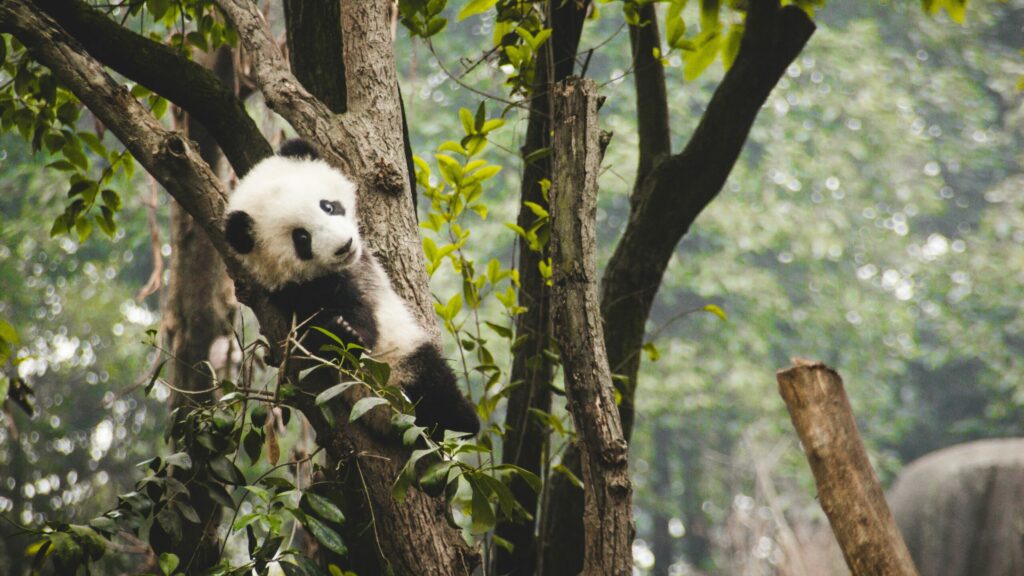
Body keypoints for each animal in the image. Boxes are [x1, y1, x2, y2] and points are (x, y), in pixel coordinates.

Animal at [223, 139, 480, 436]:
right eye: (301, 238)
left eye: (327, 206)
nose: (344, 246)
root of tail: (388, 414)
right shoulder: (296, 292)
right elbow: (335, 327)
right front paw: (343, 331)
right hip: (401, 363)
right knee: (434, 381)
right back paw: (464, 419)